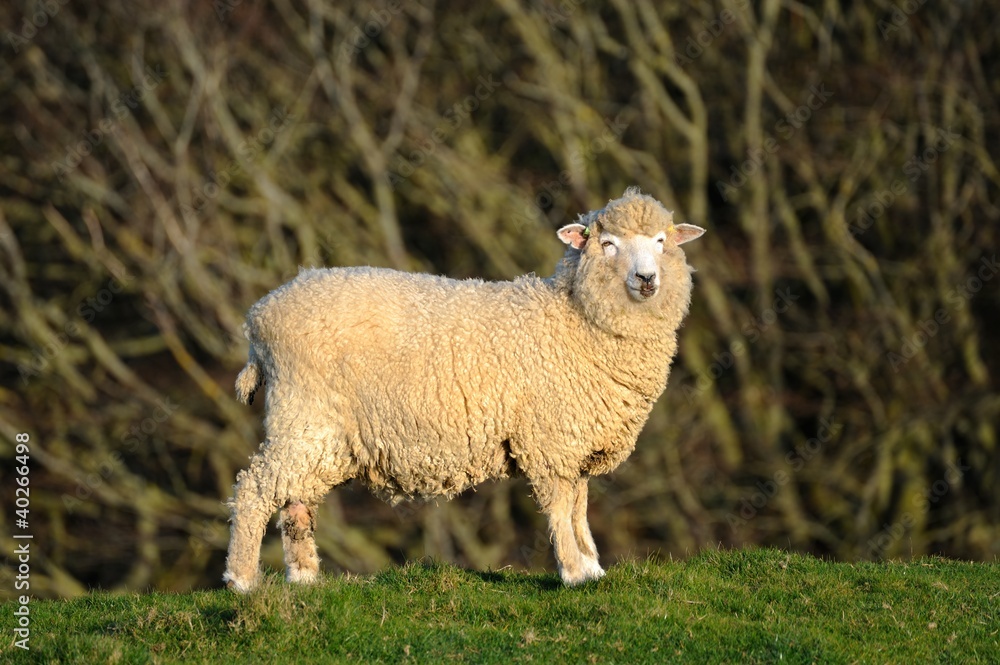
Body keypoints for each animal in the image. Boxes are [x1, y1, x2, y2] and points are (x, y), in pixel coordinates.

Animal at [223, 187, 705, 592]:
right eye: (608, 245)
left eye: (661, 241)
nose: (647, 279)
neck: (576, 320)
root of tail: (259, 316)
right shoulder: (548, 441)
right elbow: (561, 507)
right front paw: (572, 572)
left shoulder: (575, 441)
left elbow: (579, 507)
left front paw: (591, 568)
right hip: (303, 414)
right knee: (255, 489)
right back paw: (242, 580)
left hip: (320, 435)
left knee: (295, 500)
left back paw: (305, 578)